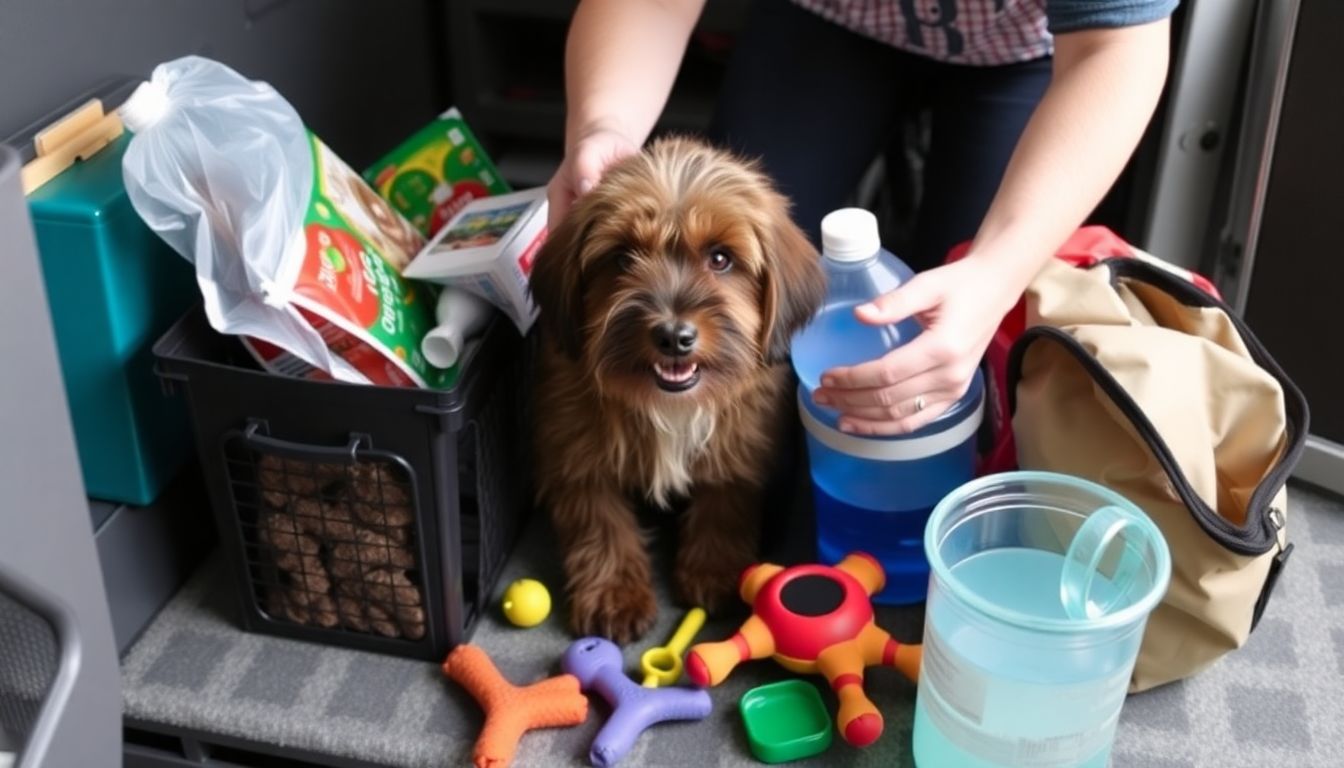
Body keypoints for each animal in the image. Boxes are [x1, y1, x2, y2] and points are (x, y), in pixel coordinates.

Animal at [529, 136, 822, 642]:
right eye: (623, 258)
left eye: (720, 258)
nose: (673, 336)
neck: (671, 404)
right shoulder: (576, 448)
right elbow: (600, 523)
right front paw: (614, 594)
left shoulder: (738, 442)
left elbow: (724, 504)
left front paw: (714, 570)